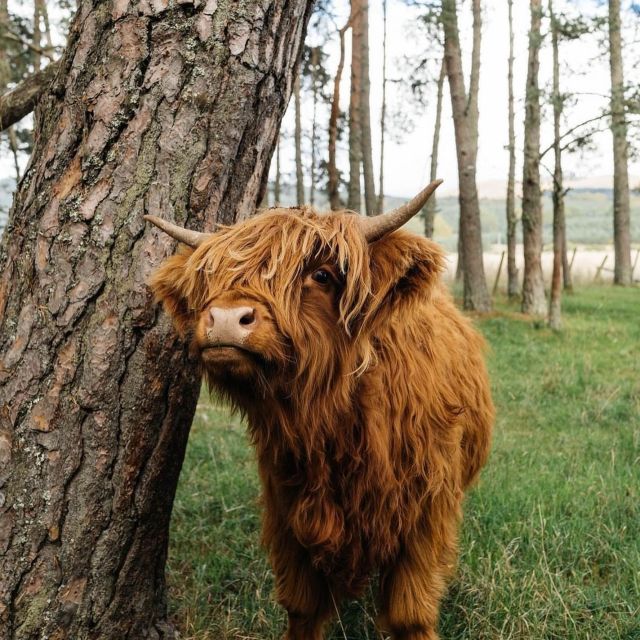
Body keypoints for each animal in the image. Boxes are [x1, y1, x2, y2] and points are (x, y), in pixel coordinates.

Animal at [146, 181, 496, 640]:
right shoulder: (288, 507)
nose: (225, 319)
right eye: (211, 277)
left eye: (322, 275)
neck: (333, 425)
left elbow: (410, 612)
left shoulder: (425, 511)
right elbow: (302, 606)